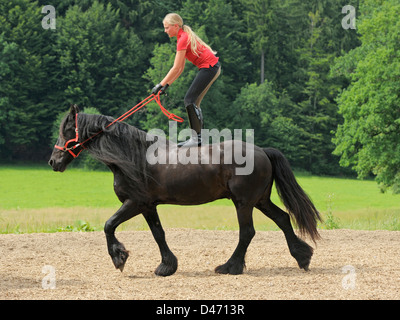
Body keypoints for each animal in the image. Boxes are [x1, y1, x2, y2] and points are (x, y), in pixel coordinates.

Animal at [48, 104, 320, 276]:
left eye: (66, 131)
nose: (53, 162)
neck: (134, 157)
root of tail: (263, 150)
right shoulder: (148, 206)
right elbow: (158, 234)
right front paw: (167, 266)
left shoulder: (135, 203)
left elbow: (108, 225)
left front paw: (119, 258)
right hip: (260, 200)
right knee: (283, 219)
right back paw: (303, 257)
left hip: (244, 203)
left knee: (247, 232)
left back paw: (229, 267)